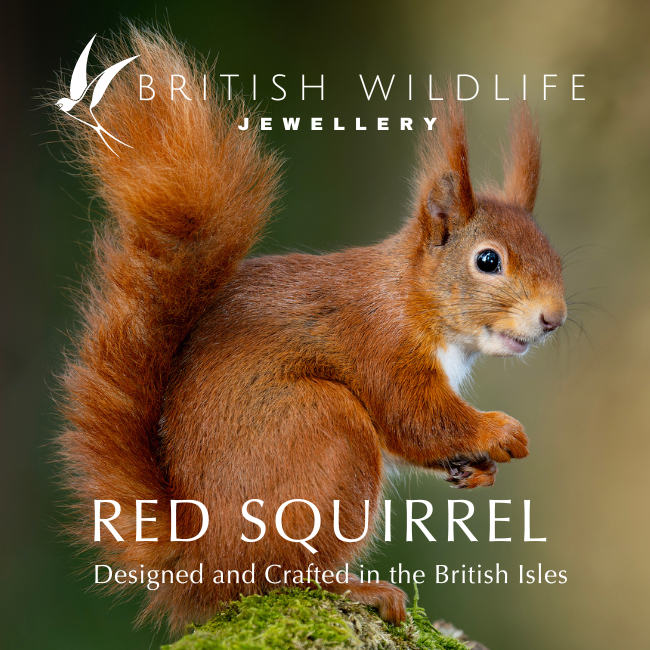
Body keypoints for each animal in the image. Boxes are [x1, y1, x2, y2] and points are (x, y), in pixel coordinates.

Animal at [54, 27, 566, 633]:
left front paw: (478, 470)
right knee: (279, 576)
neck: (413, 298)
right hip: (321, 431)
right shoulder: (381, 343)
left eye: (556, 256)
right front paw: (501, 432)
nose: (553, 318)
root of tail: (200, 559)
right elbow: (417, 417)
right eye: (488, 261)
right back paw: (357, 587)